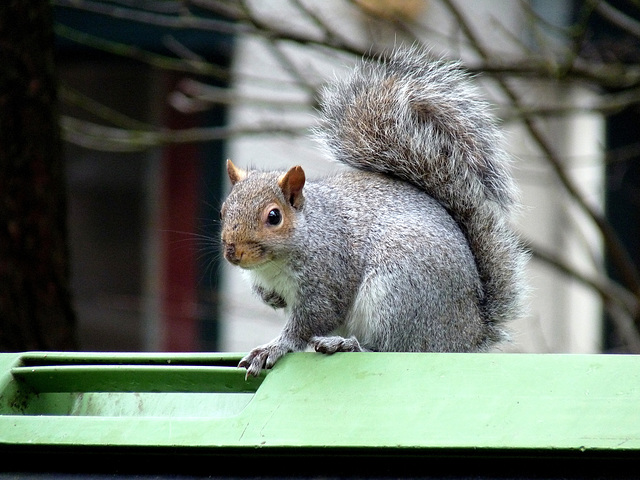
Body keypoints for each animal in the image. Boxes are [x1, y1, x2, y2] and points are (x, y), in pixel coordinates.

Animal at [221, 47, 528, 376]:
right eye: (223, 210)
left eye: (274, 216)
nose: (232, 253)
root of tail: (469, 334)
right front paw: (271, 299)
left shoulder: (328, 276)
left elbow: (310, 321)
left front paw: (273, 348)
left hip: (399, 293)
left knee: (393, 348)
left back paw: (346, 344)